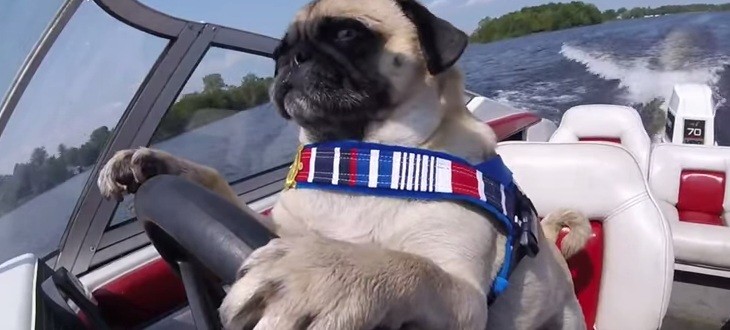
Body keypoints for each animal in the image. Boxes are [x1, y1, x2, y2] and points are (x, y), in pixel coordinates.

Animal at [96, 0, 588, 328]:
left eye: (348, 34)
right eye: (277, 52)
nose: (289, 60)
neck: (360, 160)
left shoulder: (464, 297)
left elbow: (410, 267)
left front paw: (319, 274)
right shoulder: (271, 229)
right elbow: (216, 187)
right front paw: (151, 162)